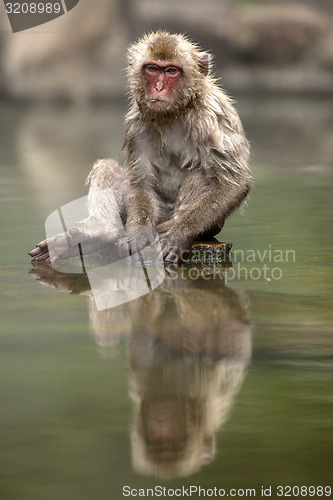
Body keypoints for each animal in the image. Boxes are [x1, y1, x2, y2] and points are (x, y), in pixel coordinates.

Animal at [29, 30, 252, 266]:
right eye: (152, 69)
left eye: (171, 71)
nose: (159, 88)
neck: (175, 112)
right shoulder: (137, 125)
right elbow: (141, 180)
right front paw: (137, 234)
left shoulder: (210, 119)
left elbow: (233, 182)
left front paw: (179, 234)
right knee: (107, 167)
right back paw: (102, 232)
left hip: (206, 222)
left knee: (203, 172)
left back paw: (170, 227)